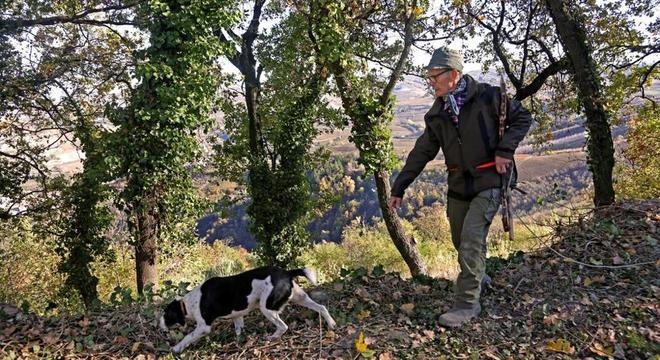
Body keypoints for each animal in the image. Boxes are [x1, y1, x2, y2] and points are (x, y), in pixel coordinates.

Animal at [159, 266, 336, 352]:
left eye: (166, 314)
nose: (158, 324)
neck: (188, 303)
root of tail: (286, 272)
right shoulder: (237, 316)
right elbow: (239, 330)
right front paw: (239, 343)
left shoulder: (203, 327)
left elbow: (187, 337)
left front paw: (176, 349)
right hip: (300, 298)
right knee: (321, 307)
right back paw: (332, 324)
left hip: (267, 308)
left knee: (283, 326)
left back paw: (272, 337)